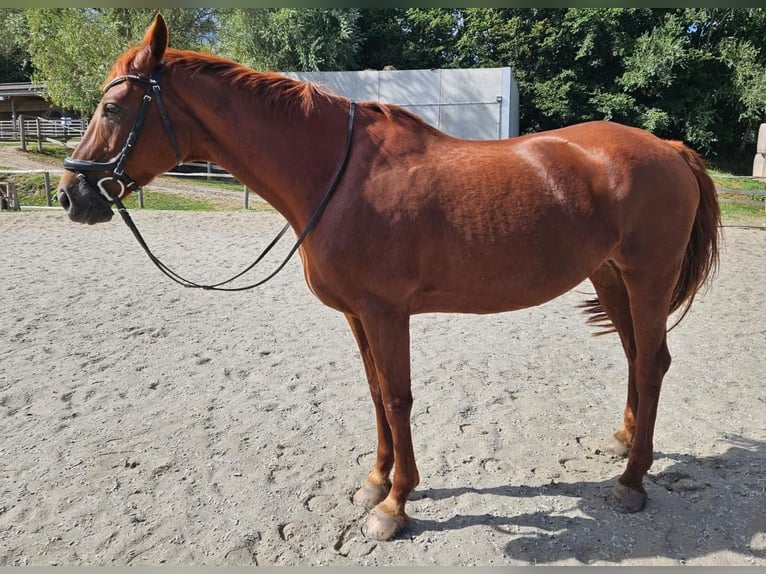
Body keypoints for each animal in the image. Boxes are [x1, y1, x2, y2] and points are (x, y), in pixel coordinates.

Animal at [58, 14, 720, 544]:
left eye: (112, 108)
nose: (71, 195)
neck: (339, 173)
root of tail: (669, 148)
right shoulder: (357, 313)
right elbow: (377, 392)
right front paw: (375, 482)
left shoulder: (385, 311)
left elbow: (399, 398)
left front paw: (396, 506)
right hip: (610, 277)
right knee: (634, 355)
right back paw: (625, 443)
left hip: (647, 278)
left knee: (652, 363)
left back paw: (631, 481)